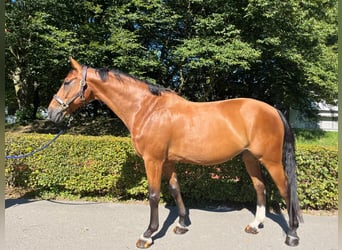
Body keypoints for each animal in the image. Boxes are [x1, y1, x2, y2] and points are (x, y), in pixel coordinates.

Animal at [47, 58, 302, 248]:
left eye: (67, 82)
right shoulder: (168, 162)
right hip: (250, 158)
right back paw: (255, 225)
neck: (148, 109)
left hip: (271, 160)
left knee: (286, 190)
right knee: (260, 187)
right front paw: (181, 224)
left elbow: (154, 195)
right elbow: (175, 189)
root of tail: (273, 110)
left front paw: (148, 234)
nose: (50, 113)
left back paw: (292, 235)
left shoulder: (153, 160)